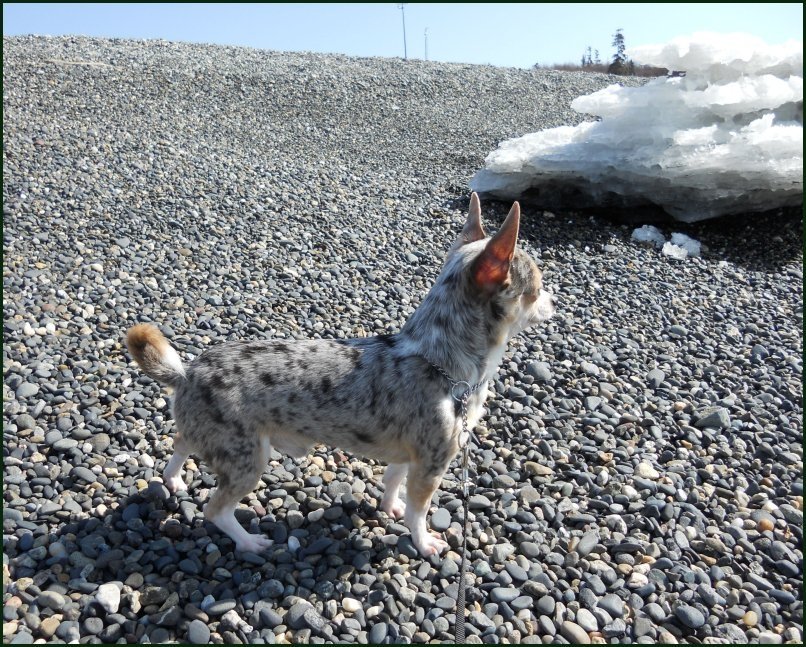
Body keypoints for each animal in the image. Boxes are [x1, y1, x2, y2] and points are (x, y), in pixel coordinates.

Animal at [128, 194, 556, 556]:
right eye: (536, 289)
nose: (554, 301)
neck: (440, 357)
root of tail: (186, 374)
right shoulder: (433, 463)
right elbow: (419, 509)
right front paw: (423, 542)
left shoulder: (411, 454)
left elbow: (393, 482)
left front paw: (389, 508)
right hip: (246, 458)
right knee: (215, 509)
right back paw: (250, 542)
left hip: (212, 437)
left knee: (182, 441)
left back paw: (173, 479)